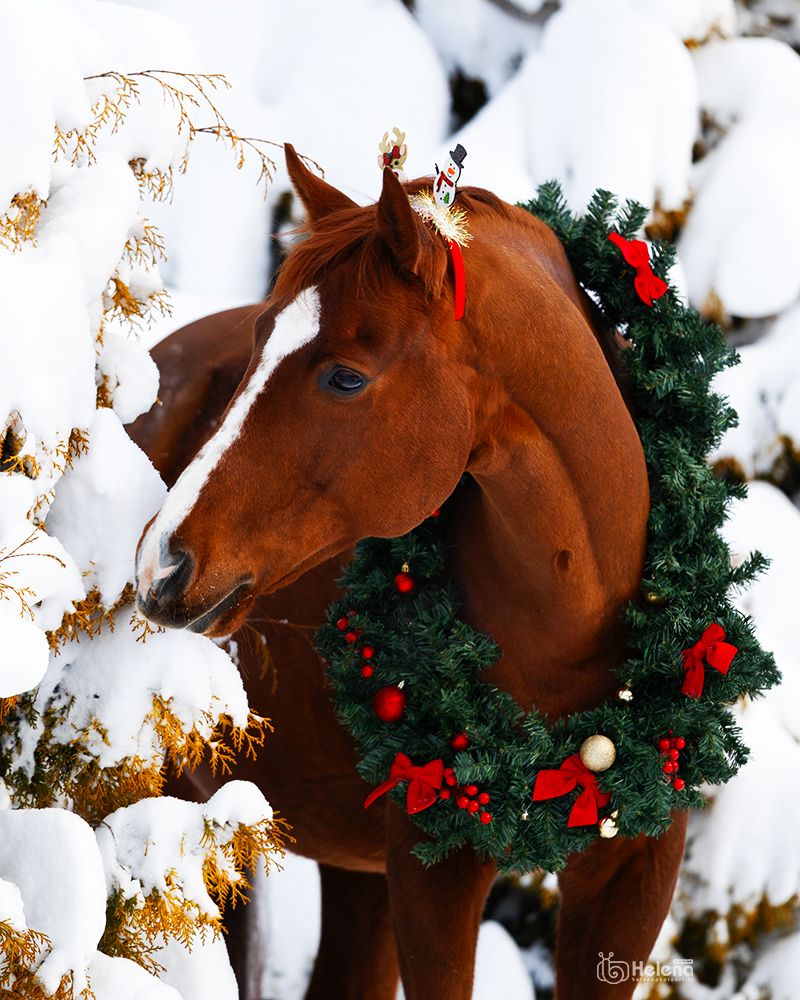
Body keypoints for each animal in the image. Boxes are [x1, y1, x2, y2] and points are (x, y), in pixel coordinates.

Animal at [129, 145, 687, 999]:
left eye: (346, 377)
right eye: (260, 342)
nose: (162, 559)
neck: (574, 629)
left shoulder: (635, 874)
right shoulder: (436, 871)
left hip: (356, 875)